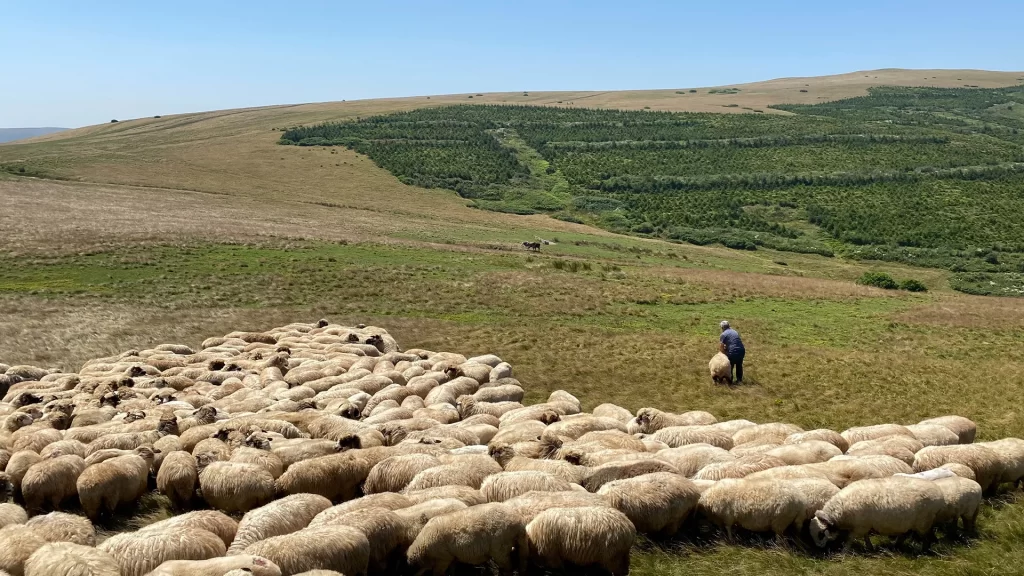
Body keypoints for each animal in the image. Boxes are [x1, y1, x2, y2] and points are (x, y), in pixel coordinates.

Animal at [806, 473, 942, 549]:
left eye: (821, 534)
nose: (818, 547)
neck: (841, 510)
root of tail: (937, 492)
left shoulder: (860, 526)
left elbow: (850, 539)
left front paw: (845, 552)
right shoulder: (864, 525)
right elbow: (866, 536)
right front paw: (869, 547)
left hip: (923, 522)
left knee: (925, 537)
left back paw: (923, 550)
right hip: (912, 522)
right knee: (906, 534)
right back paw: (896, 546)